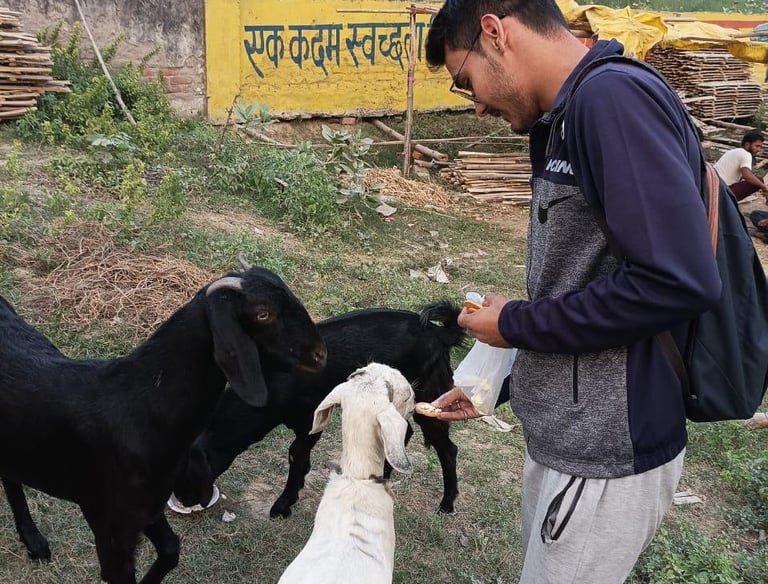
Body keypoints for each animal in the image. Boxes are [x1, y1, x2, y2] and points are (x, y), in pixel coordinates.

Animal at [0, 265, 327, 584]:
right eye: (263, 314)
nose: (321, 354)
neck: (143, 406)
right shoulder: (108, 520)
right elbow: (121, 573)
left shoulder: (149, 507)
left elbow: (171, 549)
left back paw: (34, 543)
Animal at [172, 299, 468, 518]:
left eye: (189, 474)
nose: (183, 501)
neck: (273, 378)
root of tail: (437, 332)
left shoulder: (309, 421)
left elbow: (296, 455)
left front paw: (284, 504)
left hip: (429, 400)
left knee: (446, 448)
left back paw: (446, 504)